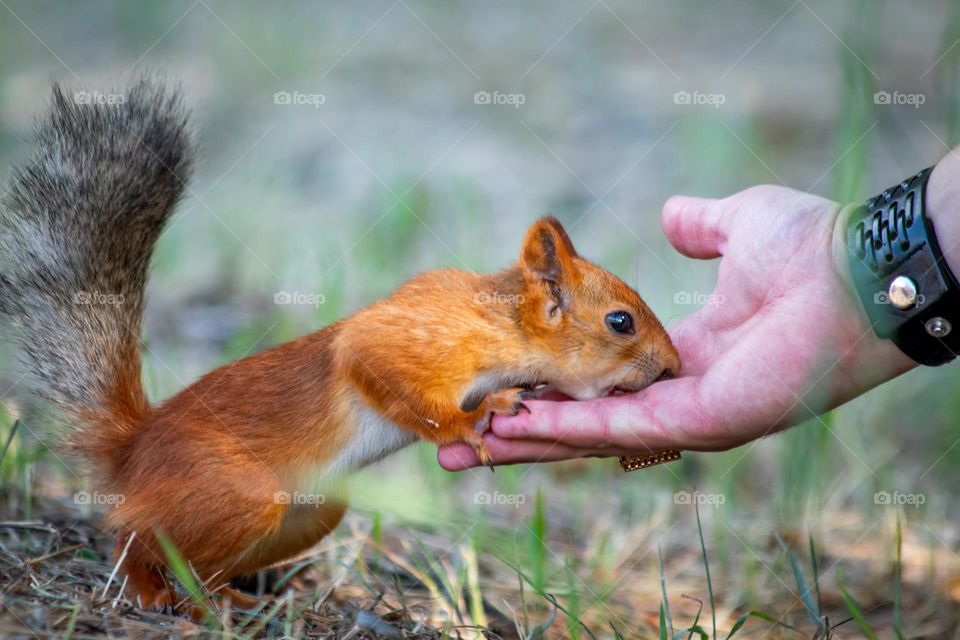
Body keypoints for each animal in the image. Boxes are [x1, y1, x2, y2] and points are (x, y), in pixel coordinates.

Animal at [0, 80, 680, 608]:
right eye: (621, 322)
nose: (674, 369)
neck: (501, 327)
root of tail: (132, 453)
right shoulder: (408, 340)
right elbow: (389, 375)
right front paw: (472, 419)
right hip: (237, 494)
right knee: (134, 535)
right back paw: (155, 590)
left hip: (311, 511)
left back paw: (231, 600)